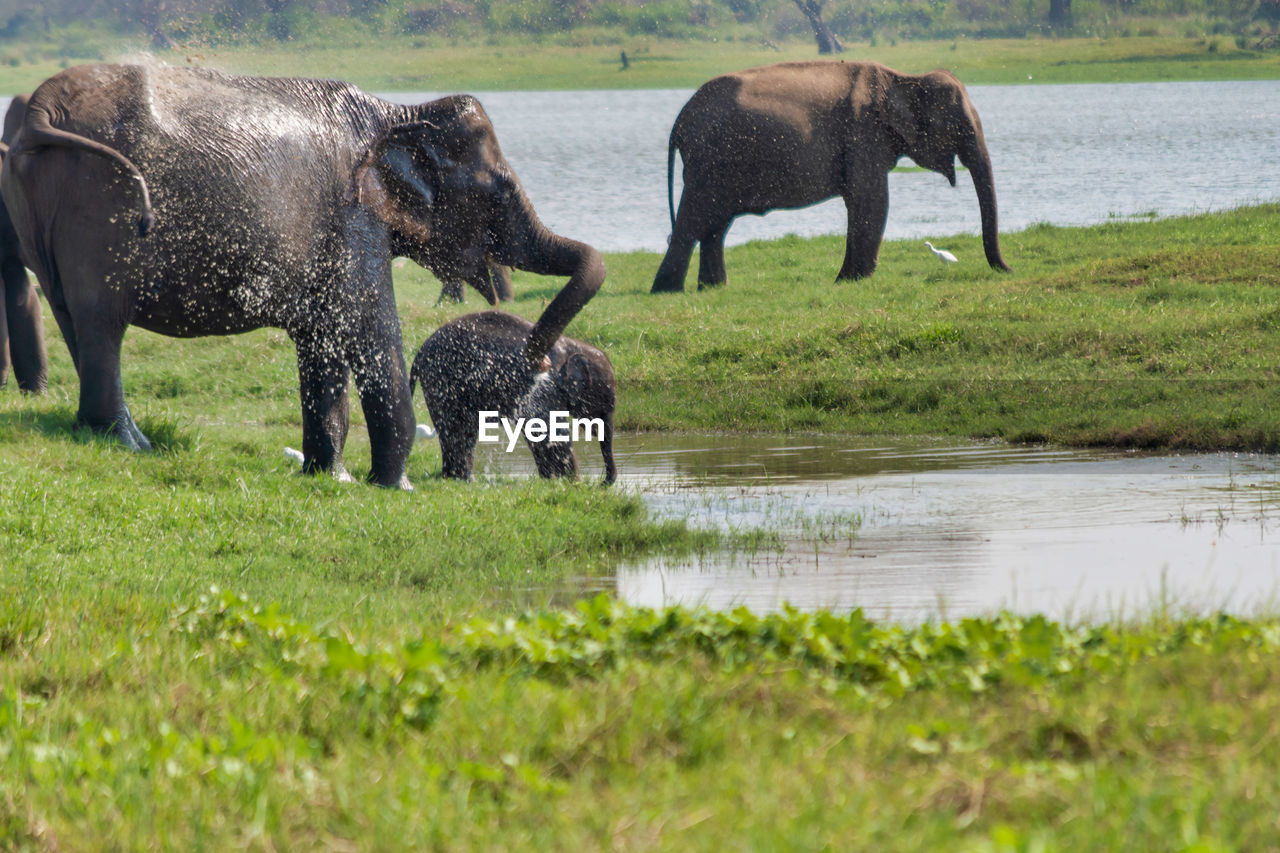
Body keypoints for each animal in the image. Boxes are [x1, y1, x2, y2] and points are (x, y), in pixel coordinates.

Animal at [407, 306, 611, 481]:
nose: (603, 484)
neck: (571, 346)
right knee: (456, 428)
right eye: (603, 399)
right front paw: (570, 483)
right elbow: (550, 427)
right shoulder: (545, 387)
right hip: (441, 380)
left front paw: (553, 481)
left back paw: (459, 479)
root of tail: (419, 354)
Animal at [650, 60, 1008, 292]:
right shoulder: (863, 134)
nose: (1007, 269)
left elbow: (864, 202)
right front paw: (852, 281)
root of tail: (679, 121)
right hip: (709, 162)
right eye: (962, 126)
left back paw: (713, 289)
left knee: (715, 225)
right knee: (693, 221)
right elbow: (872, 200)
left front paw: (846, 280)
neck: (901, 78)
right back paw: (666, 291)